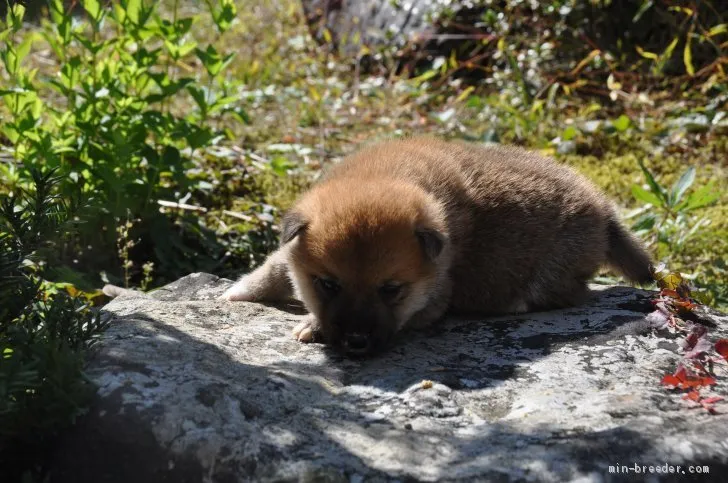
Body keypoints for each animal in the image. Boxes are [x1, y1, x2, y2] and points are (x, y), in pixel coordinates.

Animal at [219, 136, 652, 356]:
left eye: (391, 290)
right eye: (328, 285)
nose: (356, 342)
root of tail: (604, 211)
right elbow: (273, 267)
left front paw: (310, 324)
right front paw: (237, 293)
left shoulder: (433, 299)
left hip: (555, 272)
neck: (380, 175)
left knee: (569, 294)